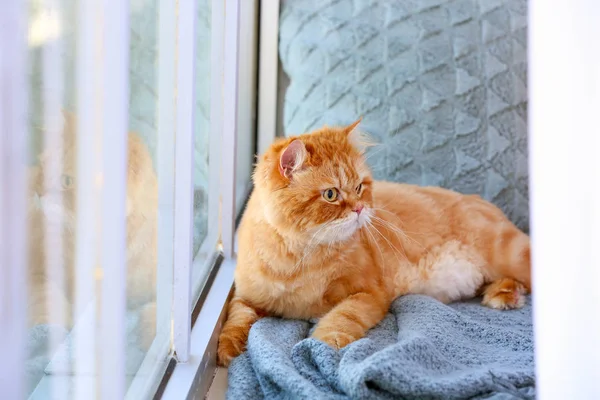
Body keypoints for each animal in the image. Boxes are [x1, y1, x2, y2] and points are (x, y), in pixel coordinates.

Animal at [216, 120, 528, 368]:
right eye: (331, 194)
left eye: (359, 187)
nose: (359, 209)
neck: (301, 258)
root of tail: (482, 202)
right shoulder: (247, 296)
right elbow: (237, 317)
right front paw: (228, 348)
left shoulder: (369, 294)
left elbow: (341, 318)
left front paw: (321, 344)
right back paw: (505, 293)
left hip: (510, 254)